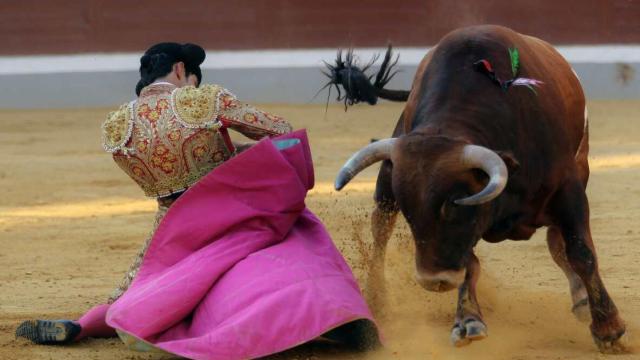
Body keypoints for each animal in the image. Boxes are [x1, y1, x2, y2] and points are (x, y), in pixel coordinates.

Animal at [328, 25, 628, 352]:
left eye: (455, 204)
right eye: (410, 213)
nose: (434, 281)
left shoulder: (568, 190)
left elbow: (581, 252)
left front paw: (608, 328)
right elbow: (469, 263)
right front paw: (468, 320)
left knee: (558, 243)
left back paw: (583, 300)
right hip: (386, 180)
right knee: (380, 229)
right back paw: (376, 299)